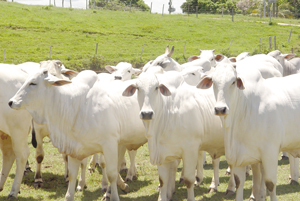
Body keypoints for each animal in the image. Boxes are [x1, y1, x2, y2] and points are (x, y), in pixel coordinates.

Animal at [9, 69, 148, 201]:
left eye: (33, 83)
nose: (11, 102)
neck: (77, 106)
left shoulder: (109, 145)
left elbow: (111, 174)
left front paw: (113, 195)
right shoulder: (74, 147)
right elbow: (72, 175)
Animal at [121, 70, 234, 201]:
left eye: (156, 87)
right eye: (138, 88)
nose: (146, 113)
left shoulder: (190, 151)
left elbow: (189, 180)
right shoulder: (163, 154)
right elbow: (163, 180)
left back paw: (231, 188)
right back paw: (214, 186)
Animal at [197, 59, 300, 201]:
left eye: (233, 81)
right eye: (214, 82)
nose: (220, 109)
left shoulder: (270, 153)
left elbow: (270, 184)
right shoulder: (239, 156)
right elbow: (239, 182)